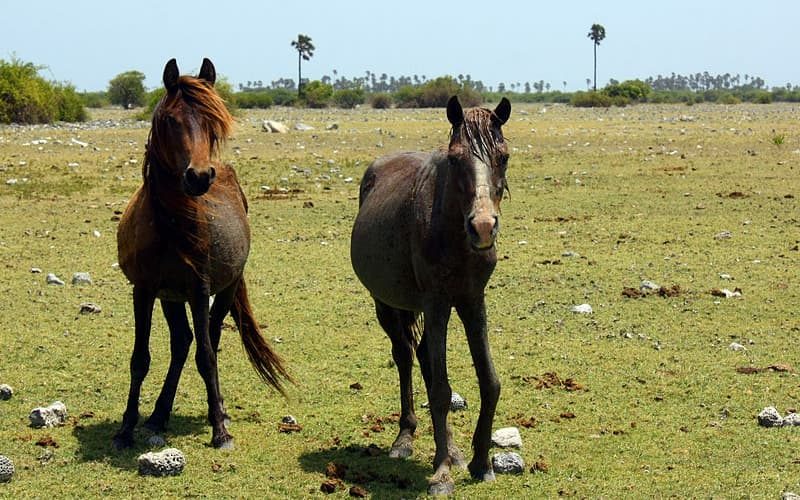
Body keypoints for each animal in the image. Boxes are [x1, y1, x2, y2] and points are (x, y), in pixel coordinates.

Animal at [112, 57, 288, 450]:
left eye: (213, 122)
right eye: (171, 120)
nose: (199, 176)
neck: (168, 224)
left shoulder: (199, 288)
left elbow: (206, 357)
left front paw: (220, 430)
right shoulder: (144, 290)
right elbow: (139, 358)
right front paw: (127, 428)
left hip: (223, 290)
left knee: (210, 339)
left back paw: (215, 410)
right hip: (170, 297)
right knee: (181, 343)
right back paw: (159, 415)